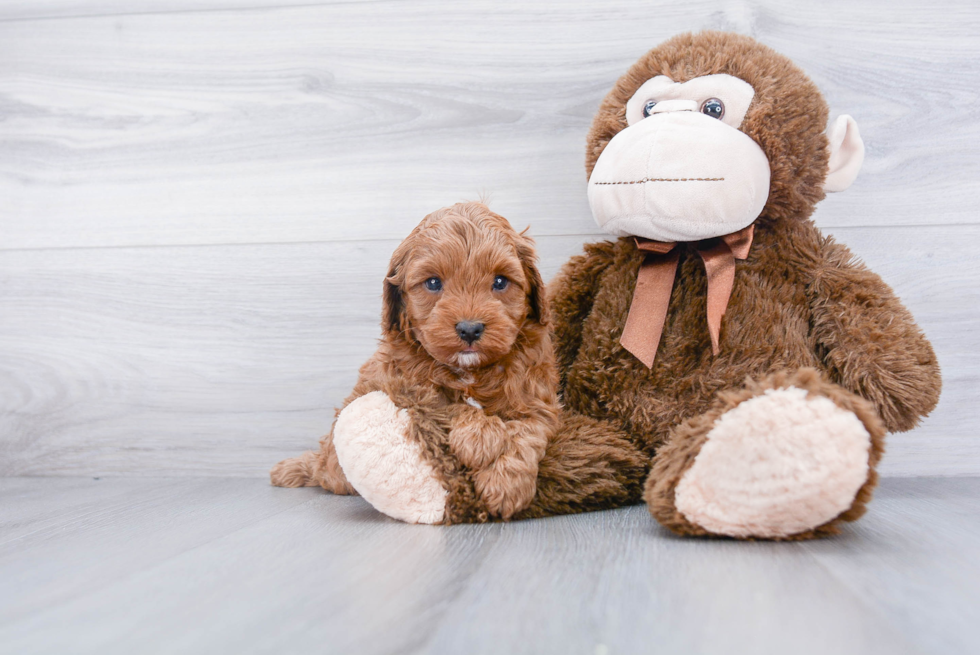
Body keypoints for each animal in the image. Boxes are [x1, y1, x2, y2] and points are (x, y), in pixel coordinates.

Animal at [270, 202, 560, 520]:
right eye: (433, 282)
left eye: (500, 281)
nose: (470, 329)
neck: (468, 370)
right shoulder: (404, 386)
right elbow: (447, 405)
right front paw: (482, 436)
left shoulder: (535, 395)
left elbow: (529, 428)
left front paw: (506, 485)